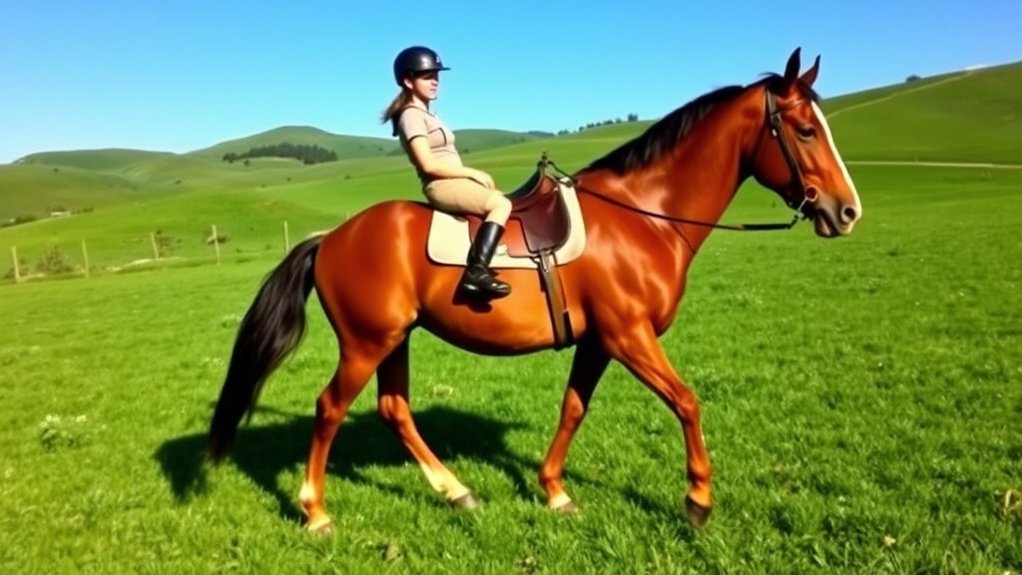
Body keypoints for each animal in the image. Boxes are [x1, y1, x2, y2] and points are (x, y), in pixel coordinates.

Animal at [207, 47, 862, 533]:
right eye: (806, 131)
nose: (847, 211)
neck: (644, 216)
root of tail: (332, 237)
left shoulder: (599, 341)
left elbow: (574, 407)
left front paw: (553, 491)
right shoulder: (629, 336)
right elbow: (687, 401)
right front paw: (698, 501)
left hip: (394, 339)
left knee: (393, 410)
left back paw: (457, 492)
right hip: (367, 342)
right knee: (329, 409)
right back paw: (316, 512)